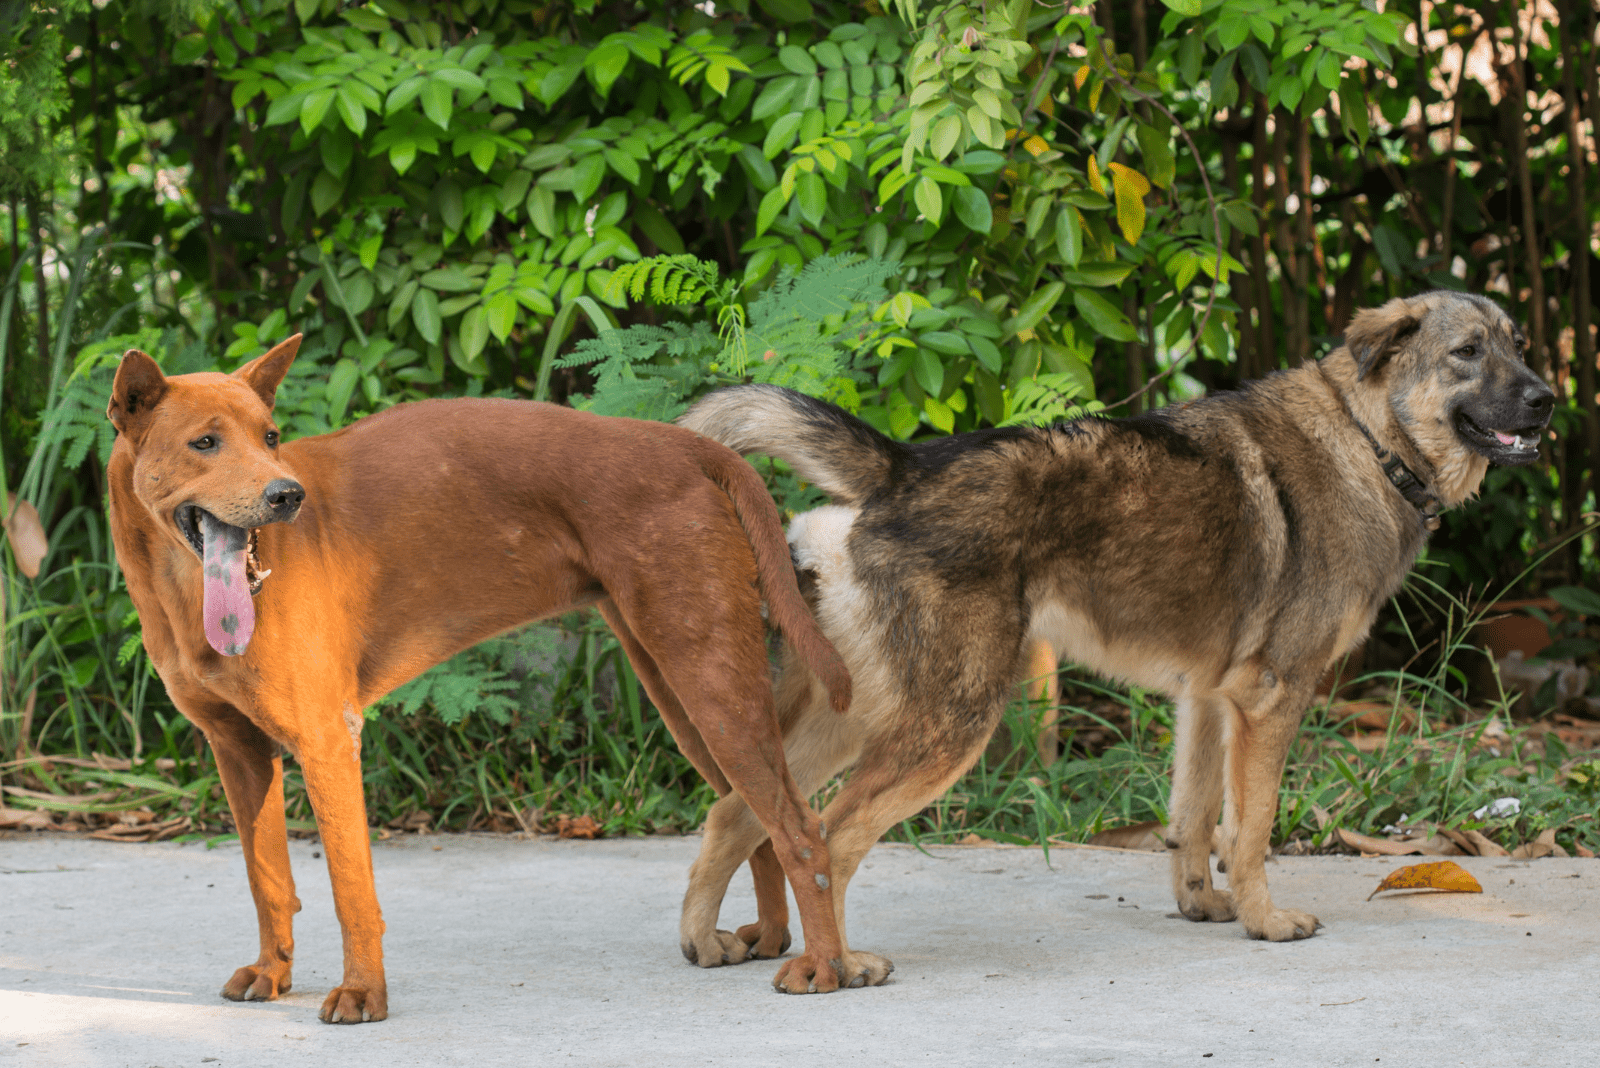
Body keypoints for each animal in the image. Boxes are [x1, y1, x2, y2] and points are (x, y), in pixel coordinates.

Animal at [104, 337, 857, 1023]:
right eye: (204, 443)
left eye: (271, 437)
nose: (286, 494)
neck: (181, 588)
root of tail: (678, 443)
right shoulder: (239, 751)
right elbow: (267, 880)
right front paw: (273, 973)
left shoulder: (328, 740)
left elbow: (352, 890)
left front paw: (363, 994)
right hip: (685, 693)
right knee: (750, 814)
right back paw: (775, 937)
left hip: (708, 681)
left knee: (799, 828)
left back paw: (824, 966)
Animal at [675, 294, 1548, 984]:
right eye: (1469, 353)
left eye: (1520, 342)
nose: (1546, 400)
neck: (1369, 441)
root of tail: (904, 466)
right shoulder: (1271, 700)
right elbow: (1252, 830)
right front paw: (1266, 923)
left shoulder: (1208, 701)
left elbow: (1194, 821)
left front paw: (1205, 907)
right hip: (948, 723)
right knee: (829, 835)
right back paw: (842, 965)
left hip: (861, 715)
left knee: (740, 812)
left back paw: (705, 942)